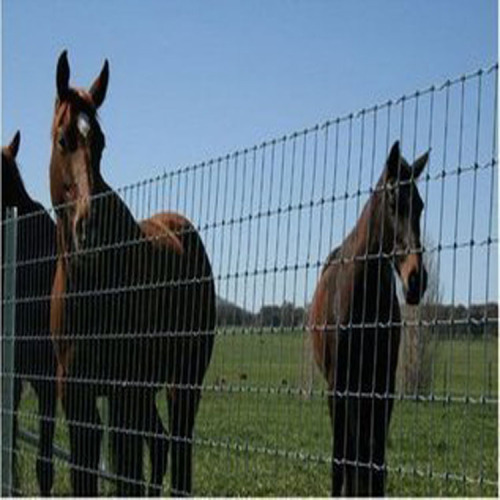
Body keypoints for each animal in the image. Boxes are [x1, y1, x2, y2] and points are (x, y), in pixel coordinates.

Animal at [48, 51, 217, 496]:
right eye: (63, 139)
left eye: (101, 143)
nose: (89, 230)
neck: (91, 285)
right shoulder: (76, 393)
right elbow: (86, 473)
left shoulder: (123, 391)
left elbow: (127, 473)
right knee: (158, 444)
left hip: (181, 384)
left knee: (178, 449)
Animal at [308, 141, 430, 496]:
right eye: (393, 202)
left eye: (420, 206)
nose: (416, 280)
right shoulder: (339, 386)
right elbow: (342, 458)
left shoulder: (382, 385)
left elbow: (375, 460)